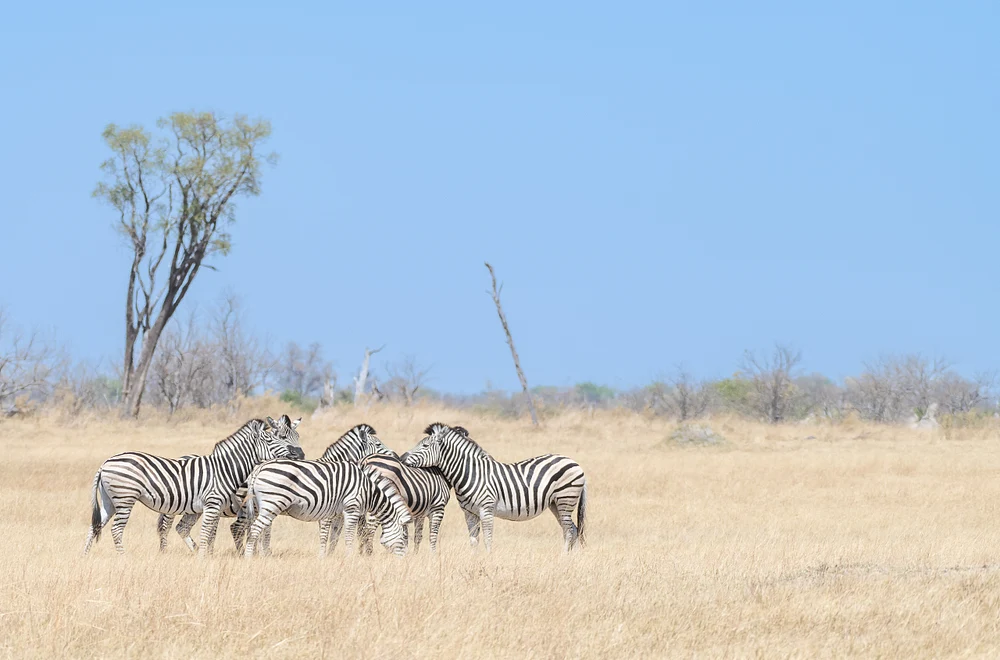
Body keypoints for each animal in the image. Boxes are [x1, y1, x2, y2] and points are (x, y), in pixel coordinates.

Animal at [83, 415, 304, 556]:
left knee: (96, 524)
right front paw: (204, 558)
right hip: (125, 499)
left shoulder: (214, 507)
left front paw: (205, 555)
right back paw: (124, 556)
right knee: (117, 529)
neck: (225, 468)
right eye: (274, 439)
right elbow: (207, 533)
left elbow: (209, 533)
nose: (299, 454)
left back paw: (85, 556)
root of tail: (105, 463)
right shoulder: (213, 503)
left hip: (109, 500)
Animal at [240, 459, 412, 557]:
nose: (402, 562)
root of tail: (260, 467)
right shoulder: (352, 508)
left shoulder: (338, 513)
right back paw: (249, 557)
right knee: (255, 529)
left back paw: (263, 556)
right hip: (273, 503)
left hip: (262, 506)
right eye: (404, 539)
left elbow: (334, 536)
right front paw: (350, 558)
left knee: (262, 530)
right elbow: (348, 536)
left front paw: (328, 557)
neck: (368, 490)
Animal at [402, 423, 587, 552]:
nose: (402, 457)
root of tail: (575, 463)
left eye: (425, 446)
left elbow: (488, 538)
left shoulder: (486, 509)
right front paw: (474, 560)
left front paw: (488, 558)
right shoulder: (469, 513)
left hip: (565, 499)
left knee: (569, 530)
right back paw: (571, 558)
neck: (471, 473)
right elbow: (473, 540)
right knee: (573, 529)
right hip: (555, 503)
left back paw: (564, 556)